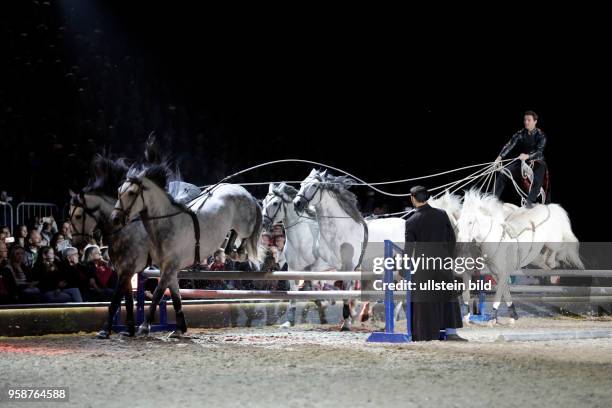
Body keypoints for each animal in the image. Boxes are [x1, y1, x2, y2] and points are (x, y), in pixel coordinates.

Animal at [111, 163, 262, 338]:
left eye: (131, 193)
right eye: (119, 191)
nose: (115, 219)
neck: (167, 223)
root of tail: (246, 193)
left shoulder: (170, 267)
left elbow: (157, 294)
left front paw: (144, 327)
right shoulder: (168, 269)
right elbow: (176, 297)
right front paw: (179, 329)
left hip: (244, 225)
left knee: (244, 236)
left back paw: (239, 253)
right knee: (233, 236)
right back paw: (231, 251)